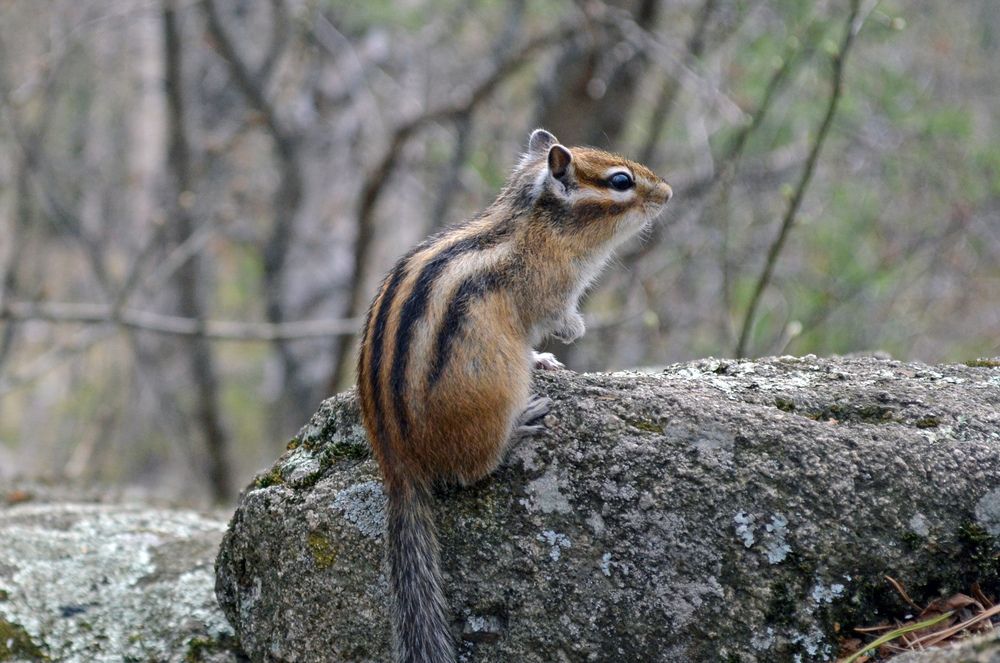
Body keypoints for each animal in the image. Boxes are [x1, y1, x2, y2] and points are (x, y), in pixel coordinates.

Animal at [356, 128, 672, 663]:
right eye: (621, 181)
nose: (668, 193)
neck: (534, 226)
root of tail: (396, 463)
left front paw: (545, 359)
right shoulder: (551, 292)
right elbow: (557, 318)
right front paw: (570, 336)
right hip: (492, 395)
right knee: (472, 469)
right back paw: (521, 426)